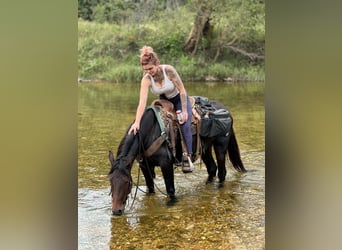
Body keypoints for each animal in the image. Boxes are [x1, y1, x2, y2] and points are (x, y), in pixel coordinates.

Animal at [108, 97, 244, 215]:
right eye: (110, 181)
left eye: (127, 182)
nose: (116, 211)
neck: (150, 132)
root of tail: (227, 111)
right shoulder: (144, 165)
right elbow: (150, 188)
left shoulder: (166, 163)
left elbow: (170, 189)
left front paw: (171, 203)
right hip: (205, 148)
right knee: (212, 168)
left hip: (220, 146)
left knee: (222, 172)